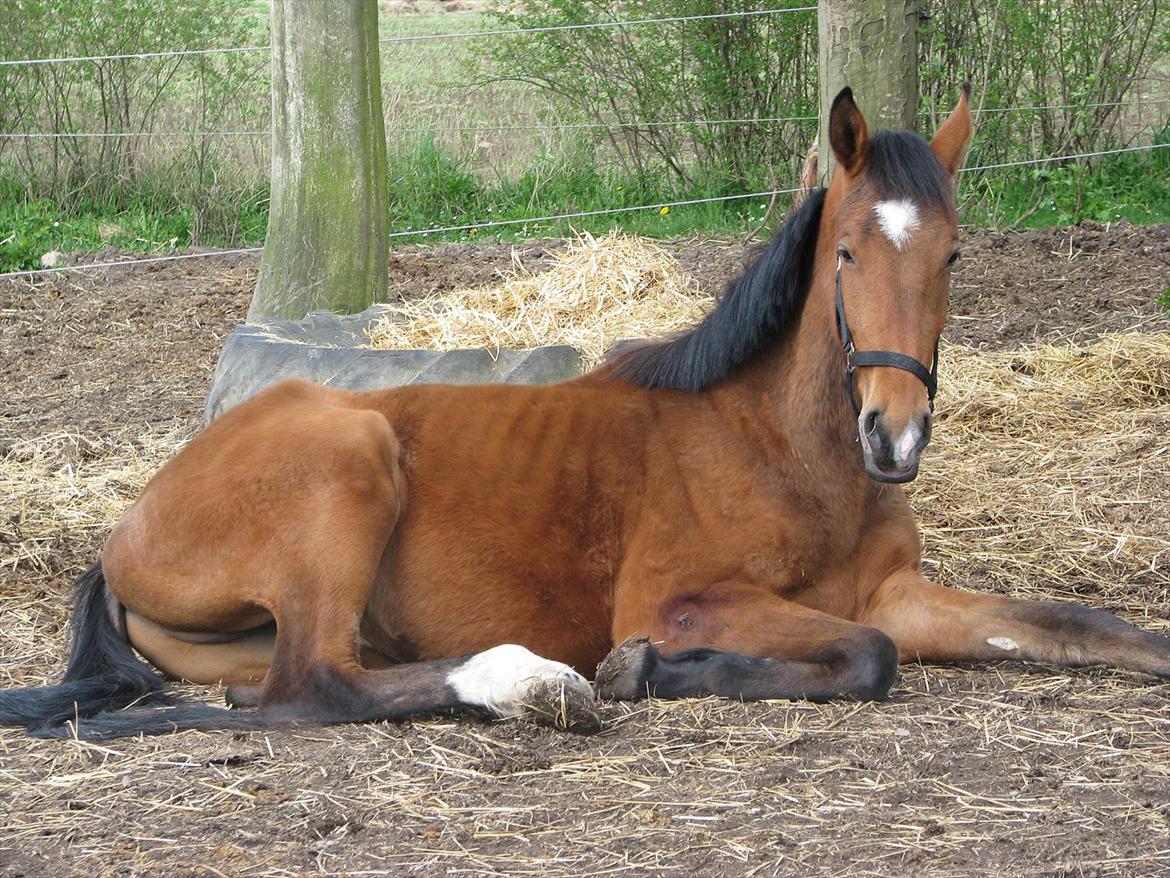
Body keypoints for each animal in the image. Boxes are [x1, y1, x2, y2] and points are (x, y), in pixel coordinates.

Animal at [2, 87, 1170, 744]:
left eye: (954, 254)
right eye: (844, 252)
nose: (897, 435)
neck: (783, 449)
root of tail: (126, 528)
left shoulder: (897, 591)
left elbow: (1076, 626)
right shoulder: (685, 598)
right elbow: (864, 657)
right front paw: (644, 670)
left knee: (290, 683)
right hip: (351, 460)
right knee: (313, 689)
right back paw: (533, 683)